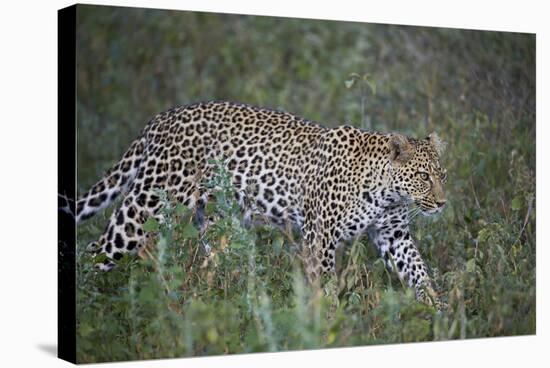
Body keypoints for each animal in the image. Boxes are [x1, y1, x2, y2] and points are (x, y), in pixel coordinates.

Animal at [69, 100, 448, 304]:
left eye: (442, 175)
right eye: (423, 176)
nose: (443, 204)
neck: (386, 193)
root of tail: (162, 118)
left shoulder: (393, 234)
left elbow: (418, 271)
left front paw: (437, 312)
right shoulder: (320, 237)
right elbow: (324, 284)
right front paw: (326, 321)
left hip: (212, 223)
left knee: (208, 266)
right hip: (142, 210)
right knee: (93, 251)